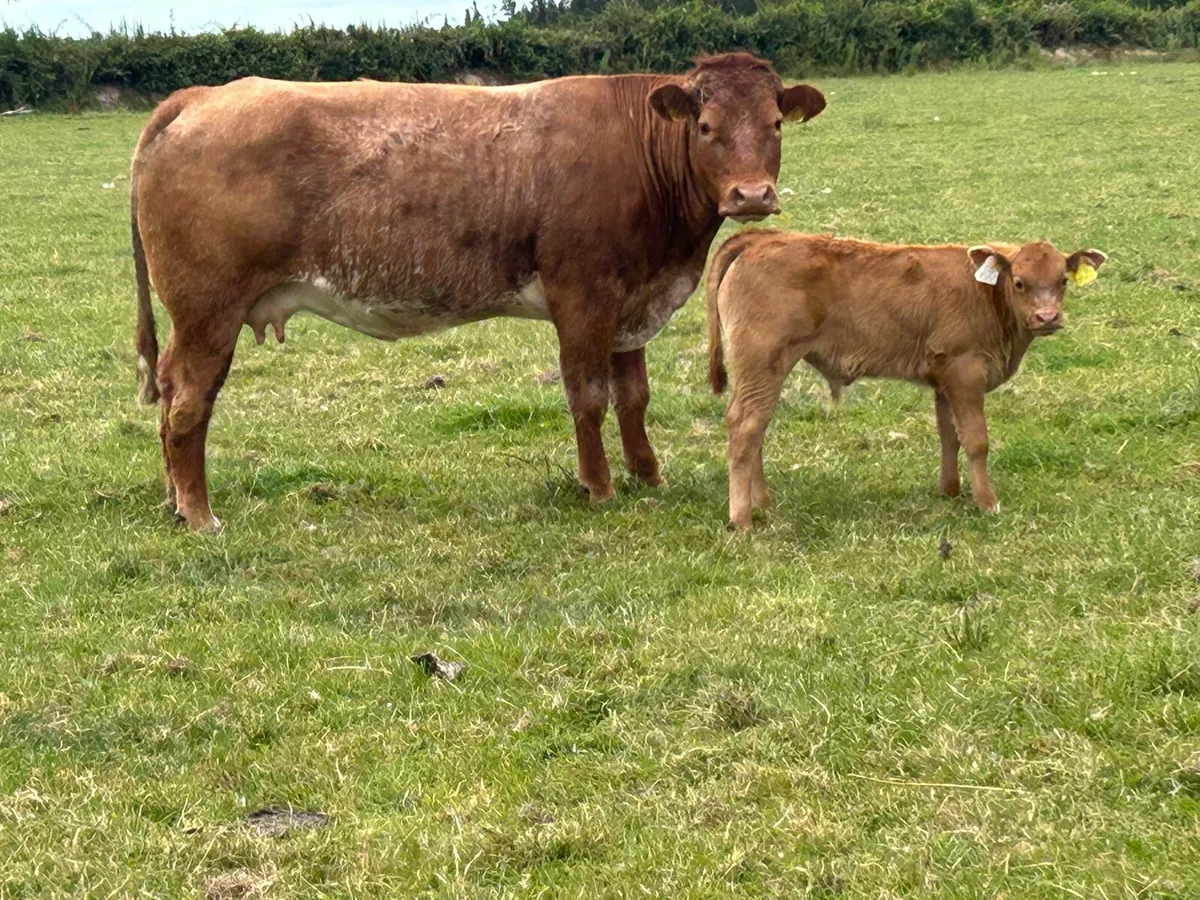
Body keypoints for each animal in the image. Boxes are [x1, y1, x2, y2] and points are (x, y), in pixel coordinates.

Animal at [129, 54, 826, 531]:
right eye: (705, 126)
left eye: (774, 125)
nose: (752, 195)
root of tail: (204, 96)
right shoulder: (583, 297)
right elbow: (588, 397)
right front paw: (598, 487)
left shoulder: (634, 302)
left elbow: (634, 397)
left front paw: (648, 475)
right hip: (207, 311)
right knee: (188, 402)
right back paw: (199, 514)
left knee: (170, 397)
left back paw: (173, 501)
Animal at [704, 230, 1107, 528]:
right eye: (1020, 283)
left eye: (1063, 281)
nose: (1047, 317)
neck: (984, 293)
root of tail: (764, 237)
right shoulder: (966, 372)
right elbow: (976, 440)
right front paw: (987, 502)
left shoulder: (944, 379)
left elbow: (950, 436)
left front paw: (951, 491)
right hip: (763, 364)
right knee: (745, 426)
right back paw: (742, 520)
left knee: (756, 427)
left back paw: (762, 504)